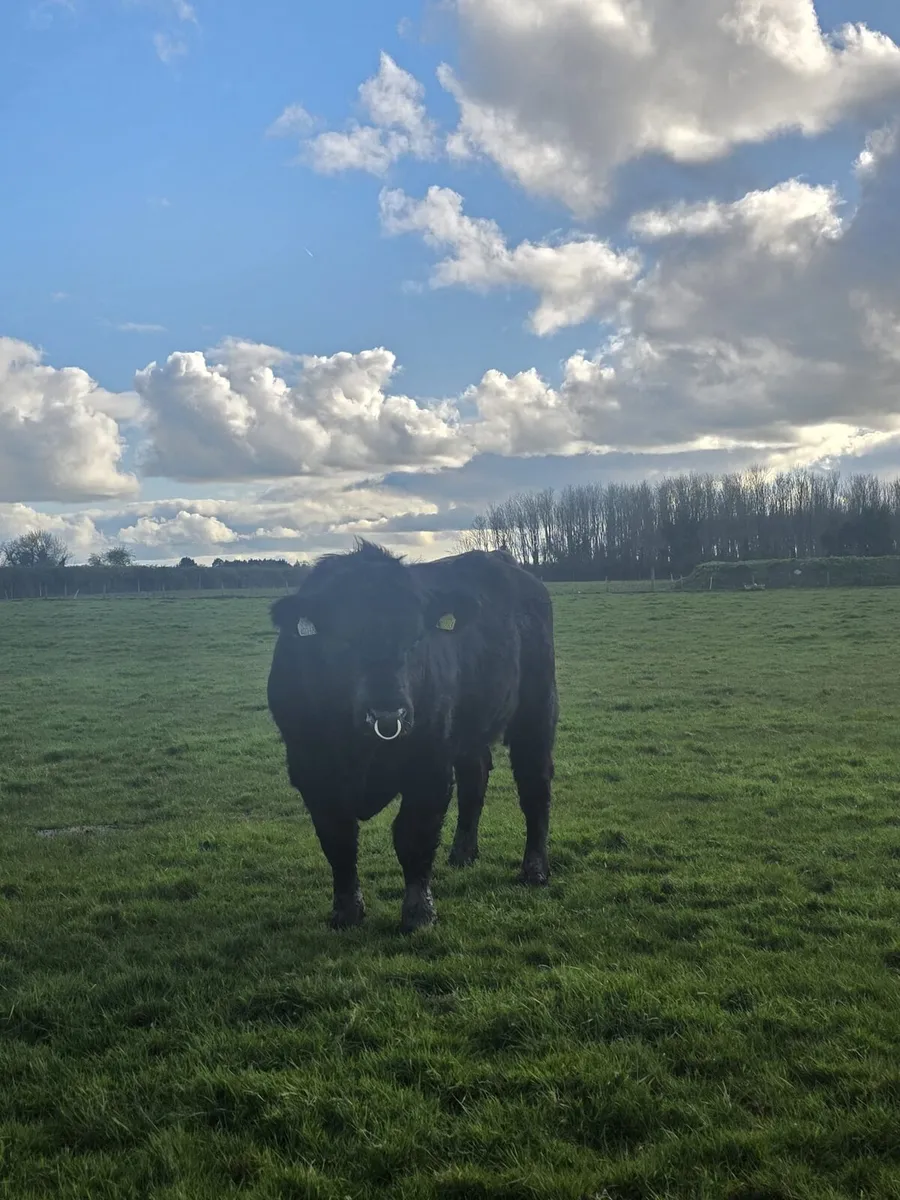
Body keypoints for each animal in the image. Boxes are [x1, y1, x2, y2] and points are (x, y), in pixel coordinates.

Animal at [266, 539, 558, 933]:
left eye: (418, 637)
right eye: (343, 640)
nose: (389, 713)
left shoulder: (429, 766)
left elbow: (413, 837)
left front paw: (419, 913)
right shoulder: (311, 771)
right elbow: (338, 841)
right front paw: (346, 910)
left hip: (537, 708)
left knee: (534, 786)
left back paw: (534, 868)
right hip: (469, 728)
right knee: (475, 778)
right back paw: (463, 852)